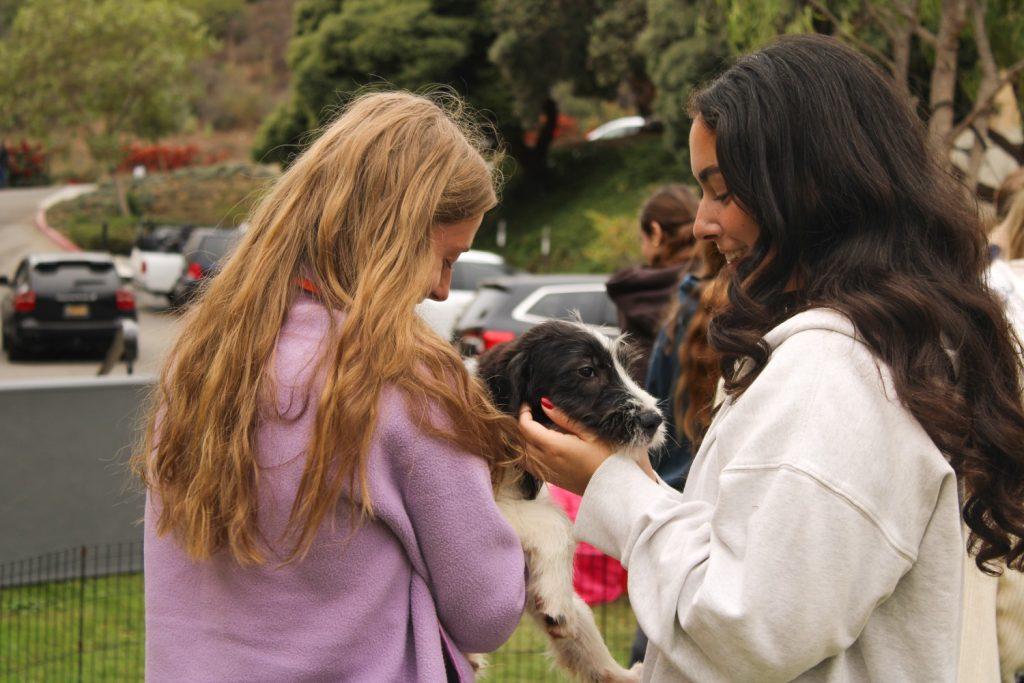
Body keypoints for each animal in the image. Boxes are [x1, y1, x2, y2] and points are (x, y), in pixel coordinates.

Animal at [473, 321, 663, 683]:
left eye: (625, 367)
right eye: (586, 371)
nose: (654, 420)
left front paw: (556, 605)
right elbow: (558, 525)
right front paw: (557, 604)